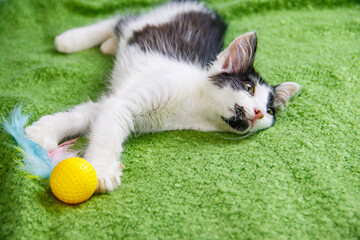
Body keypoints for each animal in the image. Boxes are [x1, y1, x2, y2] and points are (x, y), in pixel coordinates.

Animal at [25, 0, 300, 193]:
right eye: (248, 87)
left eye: (271, 111)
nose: (259, 112)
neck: (193, 105)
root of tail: (207, 10)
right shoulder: (129, 99)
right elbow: (106, 134)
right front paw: (101, 169)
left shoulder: (120, 103)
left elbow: (89, 115)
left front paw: (41, 132)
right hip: (154, 19)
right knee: (121, 19)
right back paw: (70, 40)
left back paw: (107, 45)